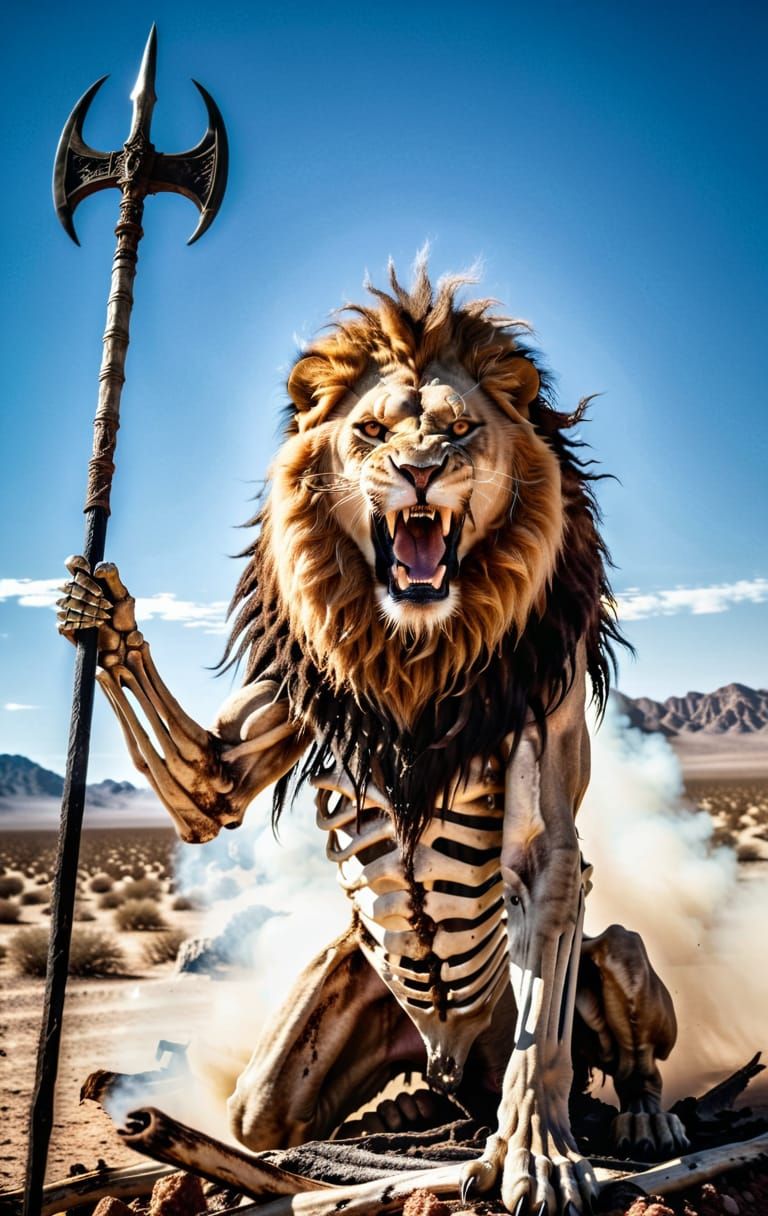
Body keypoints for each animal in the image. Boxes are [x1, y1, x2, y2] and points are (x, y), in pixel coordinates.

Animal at [59, 260, 688, 1214]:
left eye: (460, 429)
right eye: (370, 431)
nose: (419, 472)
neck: (416, 653)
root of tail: (455, 1070)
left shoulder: (550, 760)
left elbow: (542, 1024)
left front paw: (539, 1154)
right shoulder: (291, 700)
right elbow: (205, 791)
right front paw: (99, 607)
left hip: (612, 955)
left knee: (614, 1034)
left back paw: (642, 1122)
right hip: (331, 1020)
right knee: (260, 1115)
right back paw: (402, 1119)